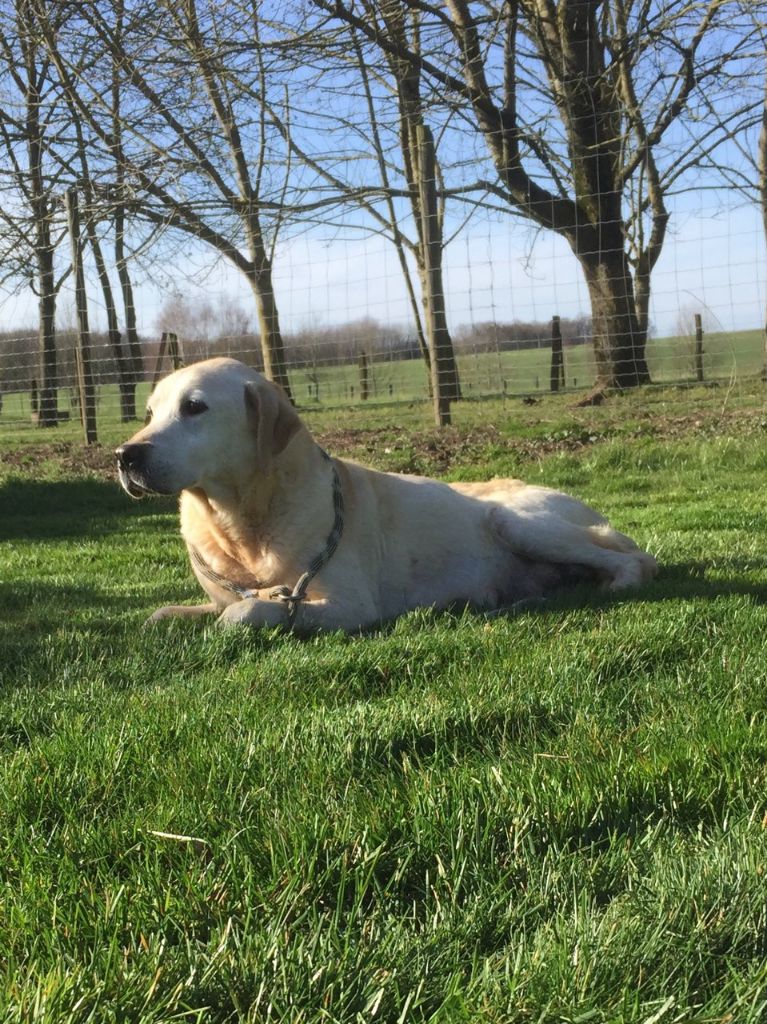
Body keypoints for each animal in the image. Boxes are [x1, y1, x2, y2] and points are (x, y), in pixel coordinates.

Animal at [116, 360, 655, 630]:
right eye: (150, 413)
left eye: (194, 407)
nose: (125, 455)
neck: (240, 522)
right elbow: (167, 613)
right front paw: (172, 617)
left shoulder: (350, 605)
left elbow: (245, 612)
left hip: (517, 521)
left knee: (635, 560)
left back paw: (618, 584)